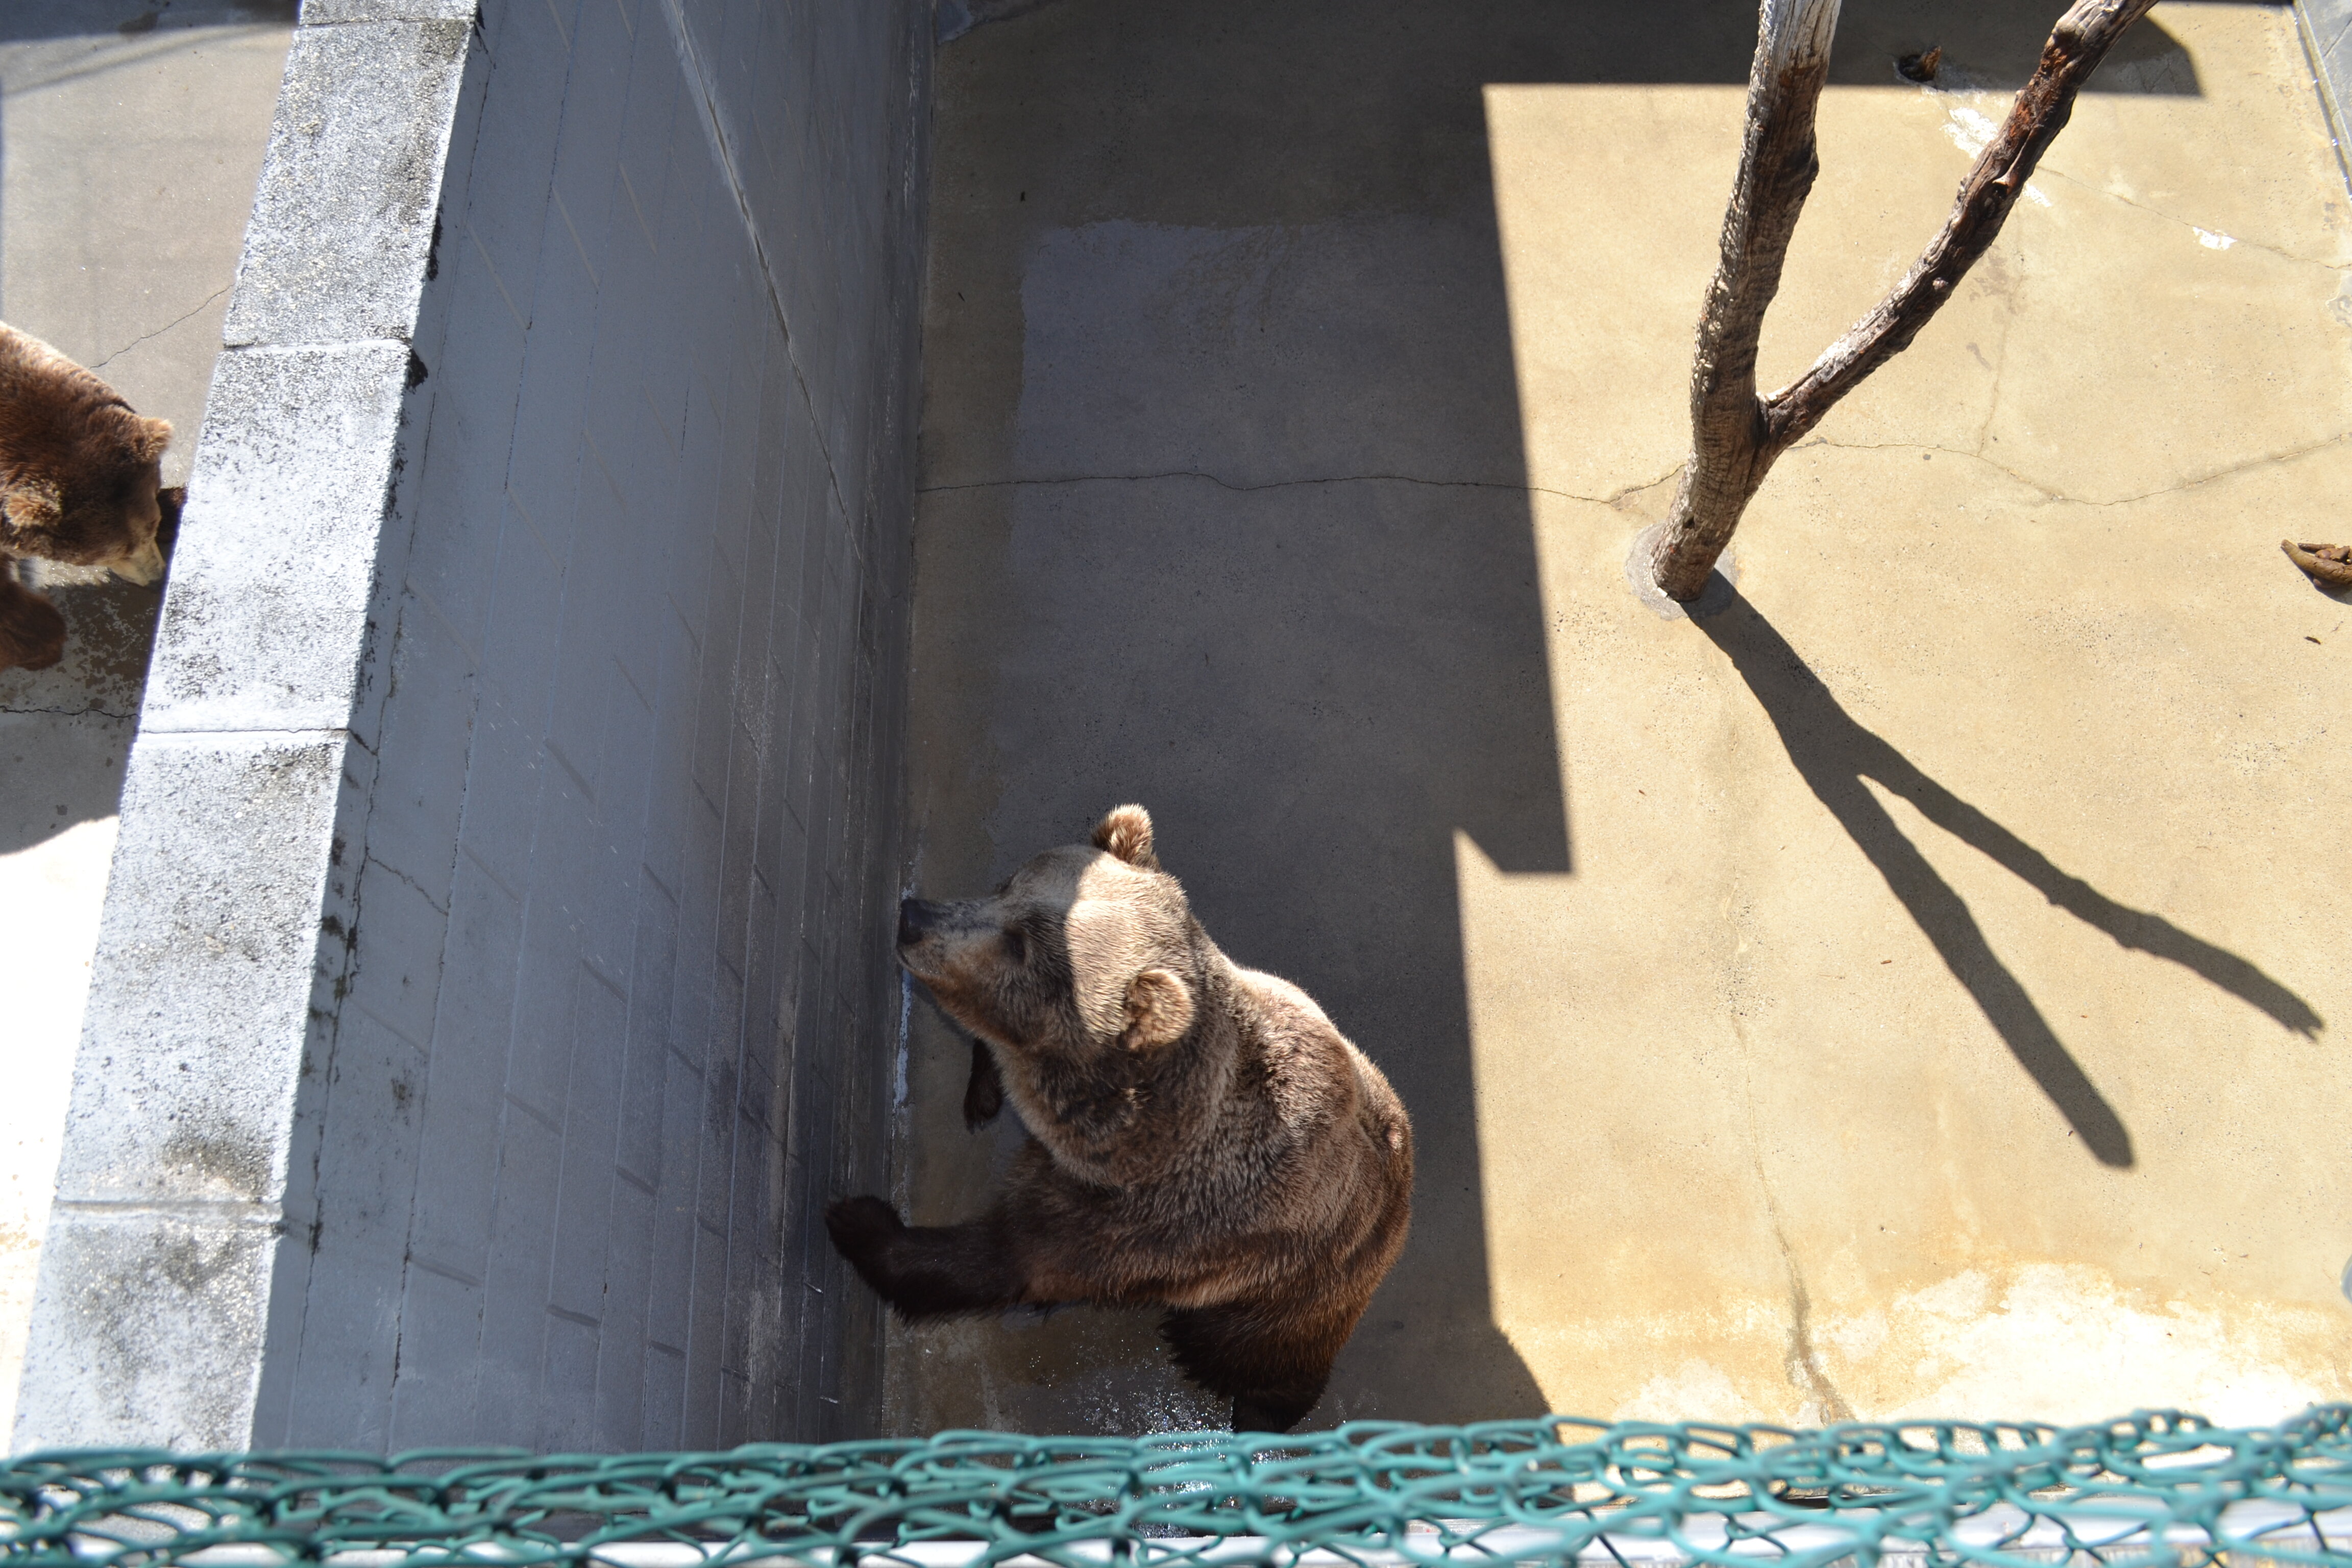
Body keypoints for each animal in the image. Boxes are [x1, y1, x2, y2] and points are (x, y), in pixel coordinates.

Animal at [827, 804, 1414, 1433]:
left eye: (1019, 944)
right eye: (1007, 887)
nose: (913, 916)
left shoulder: (1146, 1219)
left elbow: (1005, 1258)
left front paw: (857, 1219)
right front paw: (981, 1090)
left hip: (1301, 1280)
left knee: (1250, 1349)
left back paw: (1256, 1405)